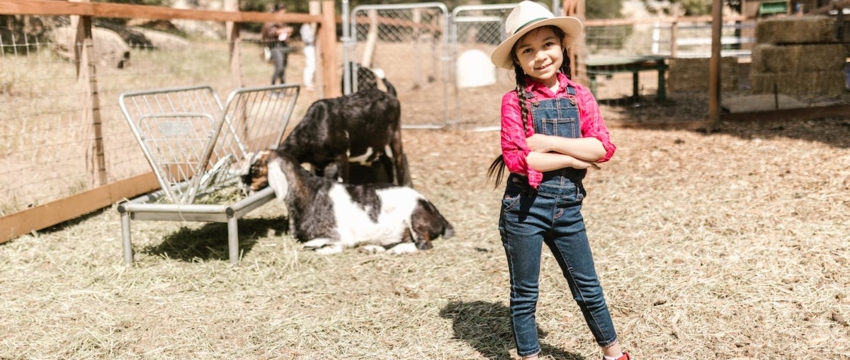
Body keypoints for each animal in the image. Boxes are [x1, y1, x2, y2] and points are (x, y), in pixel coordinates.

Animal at [245, 150, 454, 255]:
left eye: (254, 167)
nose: (243, 184)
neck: (310, 192)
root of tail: (438, 215)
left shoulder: (340, 235)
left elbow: (317, 246)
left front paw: (324, 249)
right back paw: (373, 248)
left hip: (415, 218)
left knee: (423, 244)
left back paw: (398, 250)